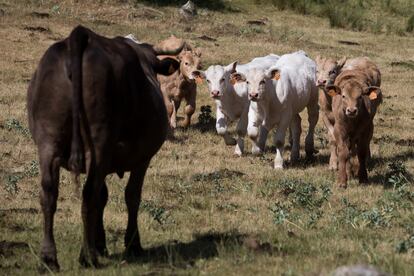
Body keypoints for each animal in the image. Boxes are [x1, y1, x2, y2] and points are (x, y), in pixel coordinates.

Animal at [25, 24, 181, 270]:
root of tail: (79, 37)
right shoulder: (142, 158)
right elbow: (131, 196)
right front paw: (132, 244)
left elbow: (103, 196)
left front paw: (100, 242)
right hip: (98, 144)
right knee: (89, 195)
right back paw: (87, 256)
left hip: (48, 143)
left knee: (49, 194)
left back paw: (49, 258)